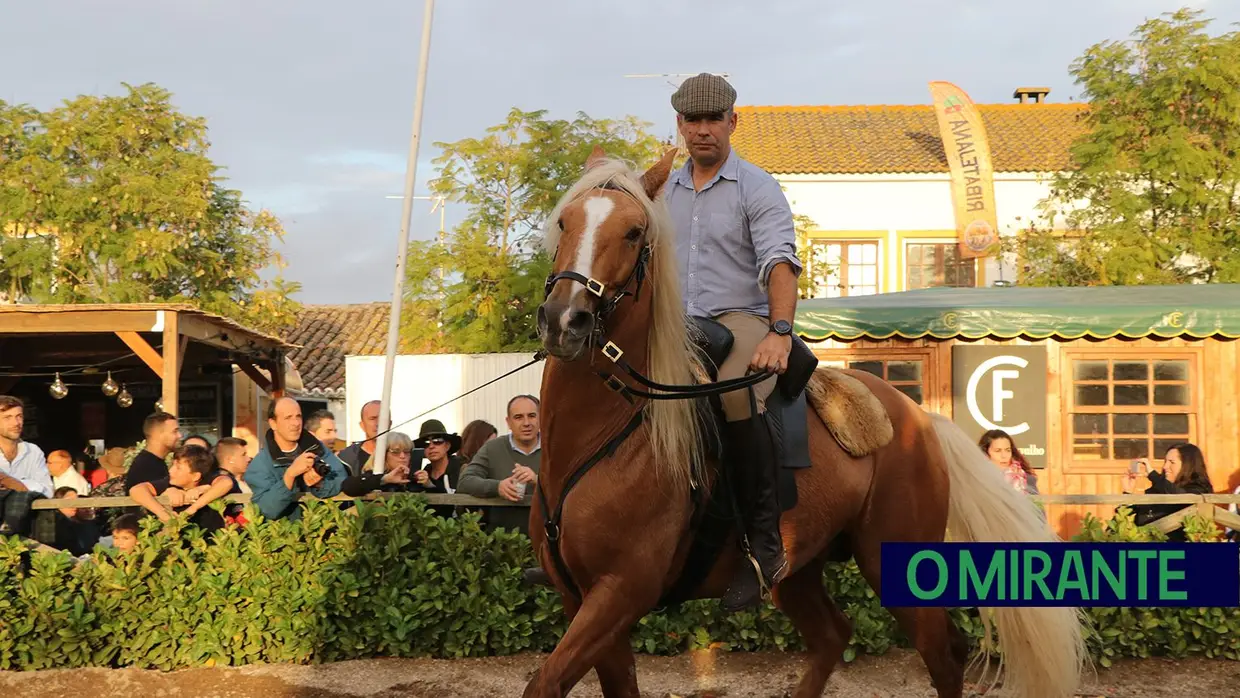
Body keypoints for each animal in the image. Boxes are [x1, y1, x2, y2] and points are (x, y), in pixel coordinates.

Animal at [528, 147, 1091, 698]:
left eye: (633, 232)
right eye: (565, 222)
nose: (564, 320)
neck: (609, 433)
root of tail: (919, 417)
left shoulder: (622, 591)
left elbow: (544, 681)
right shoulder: (581, 599)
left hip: (895, 566)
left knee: (942, 655)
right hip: (801, 569)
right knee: (833, 637)